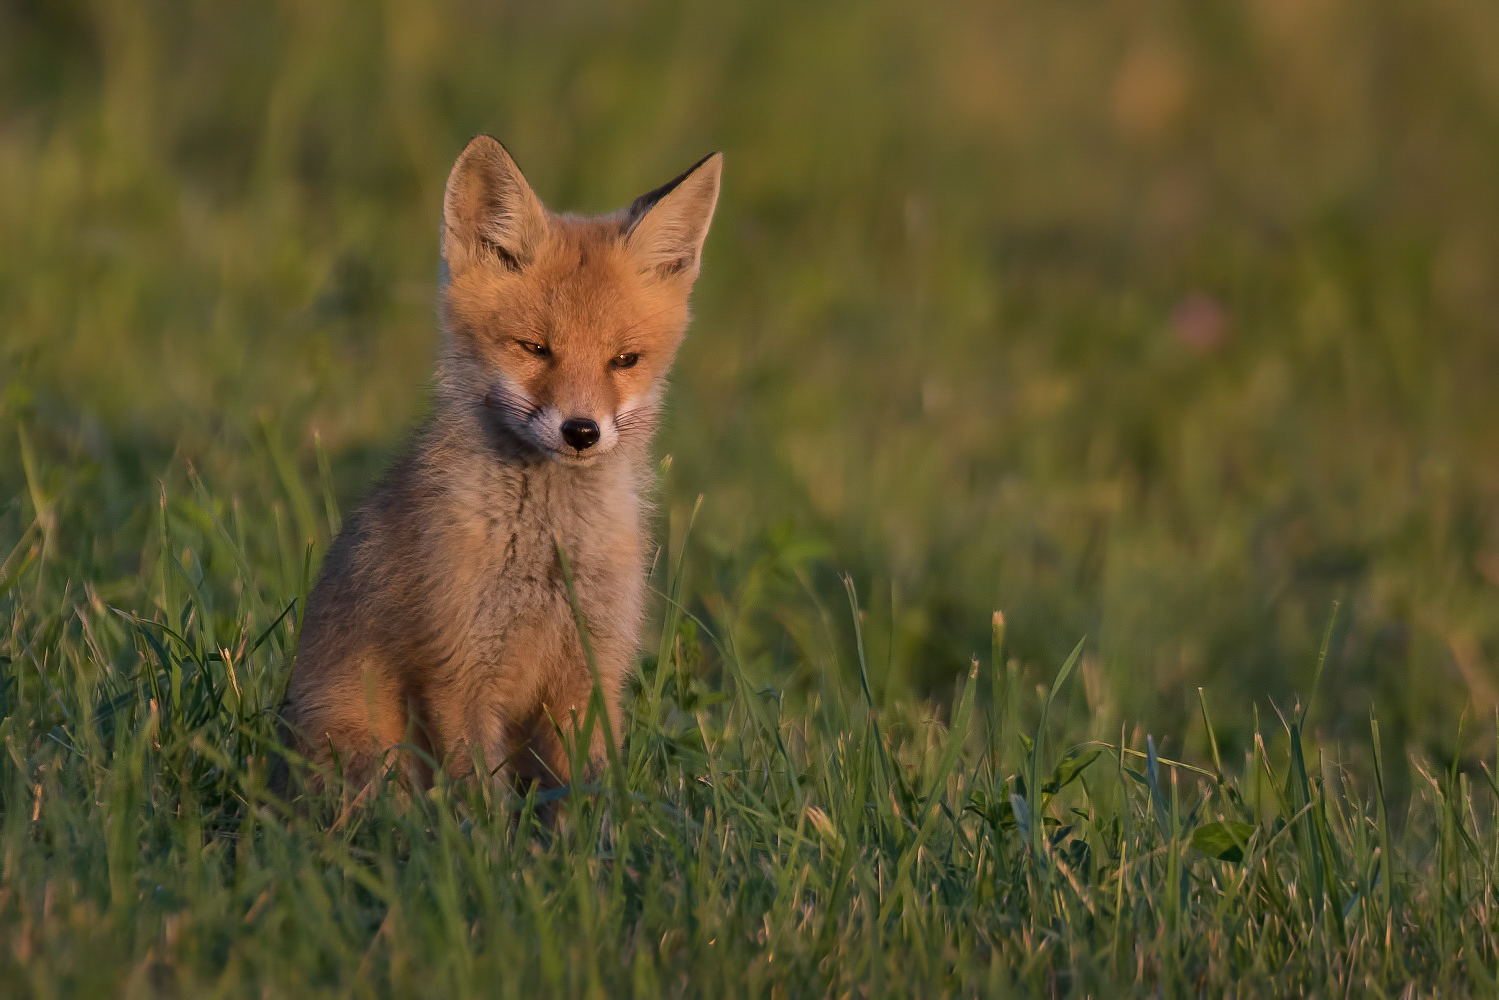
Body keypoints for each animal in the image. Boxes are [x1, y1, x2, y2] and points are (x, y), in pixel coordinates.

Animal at [281, 134, 725, 803]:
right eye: (534, 349)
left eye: (625, 360)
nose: (581, 431)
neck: (549, 553)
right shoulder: (457, 672)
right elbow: (479, 801)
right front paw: (488, 833)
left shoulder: (592, 671)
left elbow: (586, 793)